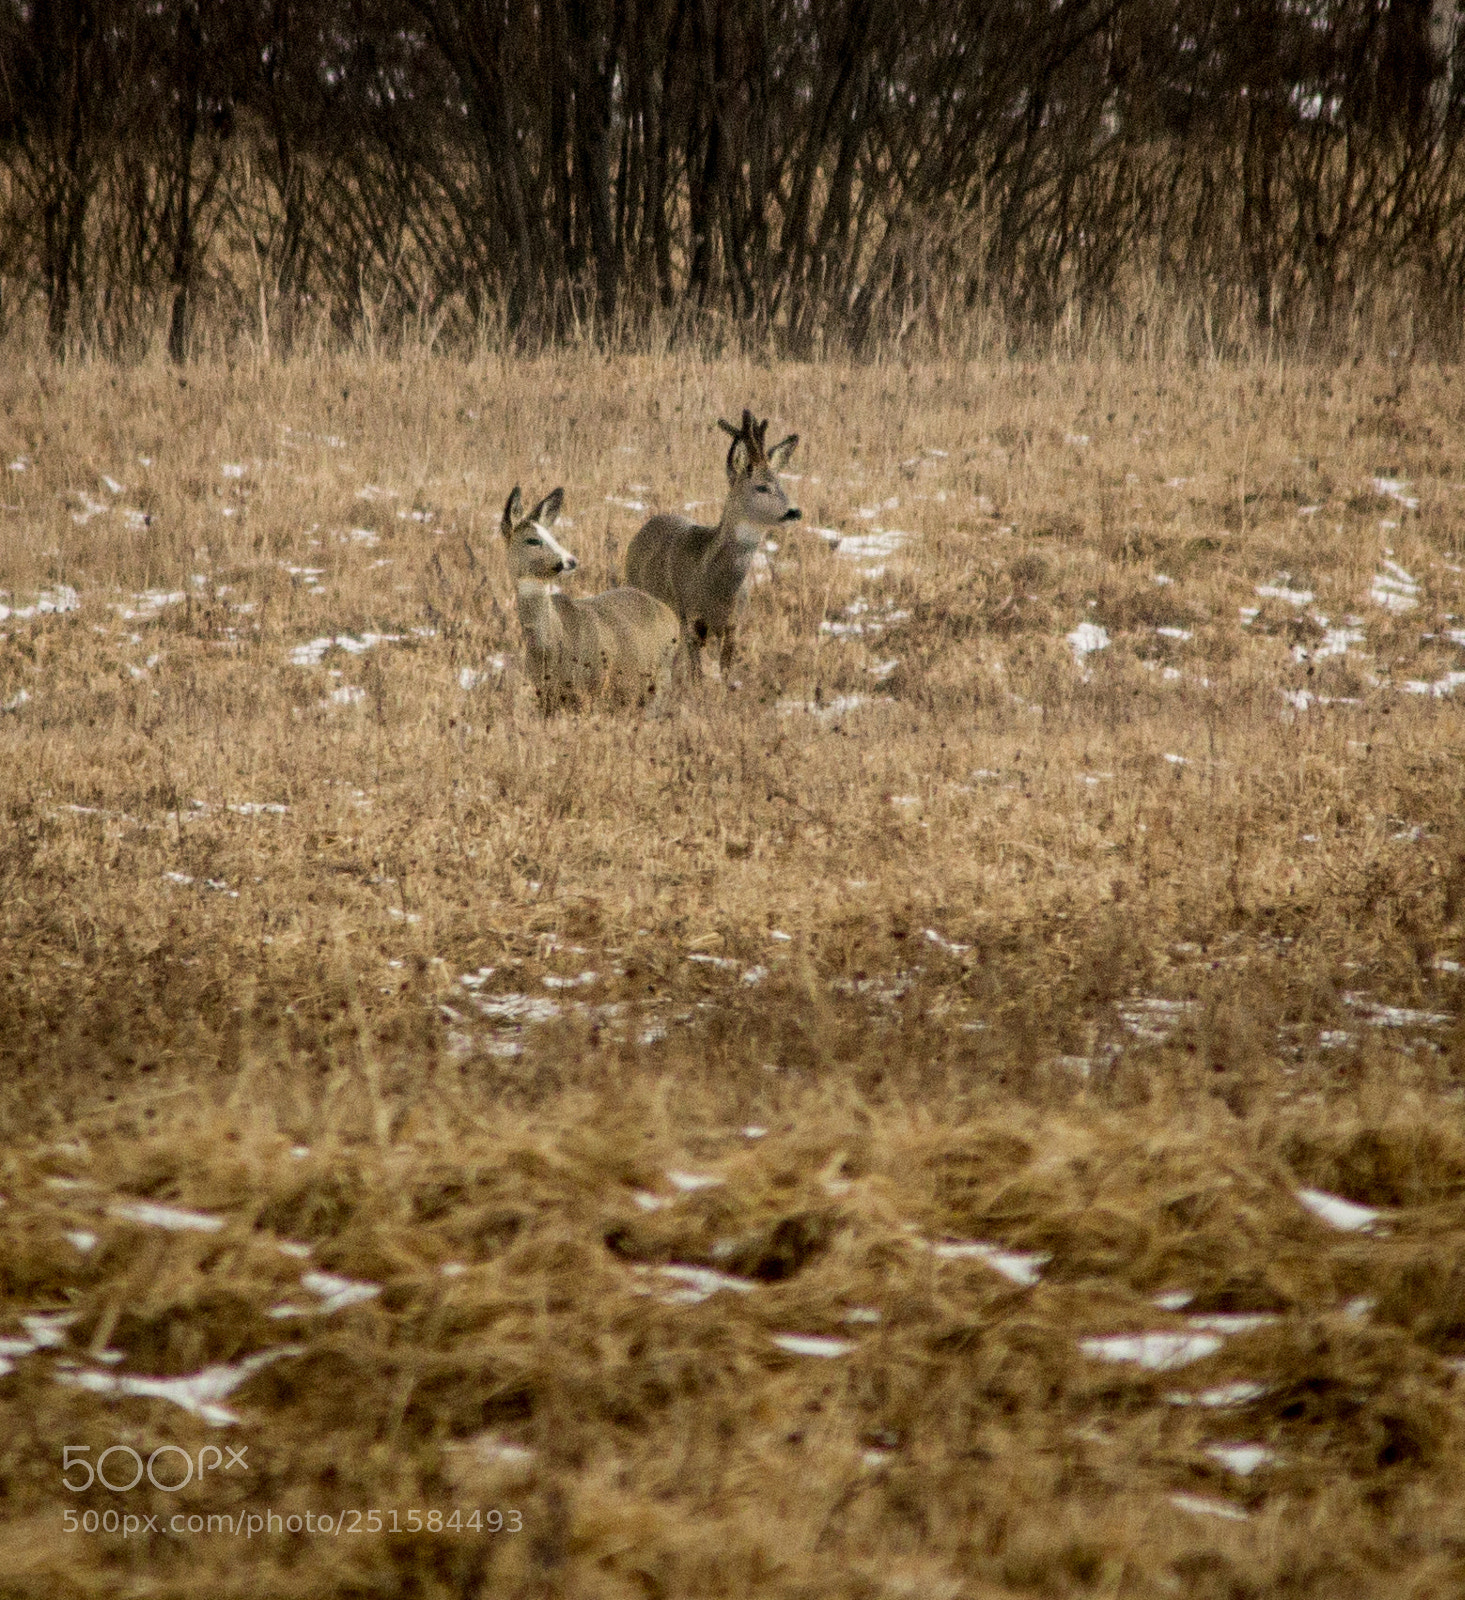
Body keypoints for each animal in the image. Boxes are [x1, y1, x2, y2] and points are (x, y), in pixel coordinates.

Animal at [500, 486, 680, 714]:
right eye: (532, 540)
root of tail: (669, 615)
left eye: (553, 536)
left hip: (661, 675)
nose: (571, 561)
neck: (551, 645)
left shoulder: (591, 689)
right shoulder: (544, 697)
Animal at [624, 409, 800, 681]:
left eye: (781, 486)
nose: (794, 512)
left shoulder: (733, 625)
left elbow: (725, 675)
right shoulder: (690, 619)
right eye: (761, 487)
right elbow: (697, 677)